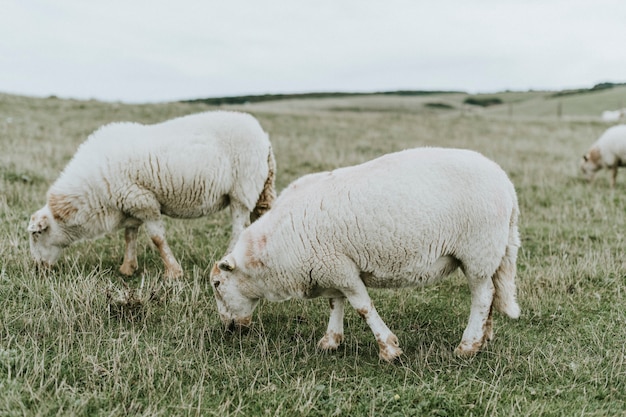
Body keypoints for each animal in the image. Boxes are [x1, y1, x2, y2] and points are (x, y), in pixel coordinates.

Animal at [26, 111, 276, 280]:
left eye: (36, 234)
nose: (37, 268)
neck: (91, 193)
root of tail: (264, 138)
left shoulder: (144, 201)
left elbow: (157, 239)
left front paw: (173, 273)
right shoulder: (131, 204)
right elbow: (129, 236)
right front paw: (127, 268)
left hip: (242, 190)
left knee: (239, 228)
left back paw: (226, 259)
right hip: (261, 189)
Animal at [212, 148, 520, 360]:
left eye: (216, 284)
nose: (228, 329)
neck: (271, 252)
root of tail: (507, 183)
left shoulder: (340, 269)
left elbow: (362, 307)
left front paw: (389, 349)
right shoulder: (330, 265)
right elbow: (336, 303)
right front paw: (331, 341)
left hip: (478, 251)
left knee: (482, 297)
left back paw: (467, 346)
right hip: (487, 254)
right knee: (491, 295)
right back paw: (483, 339)